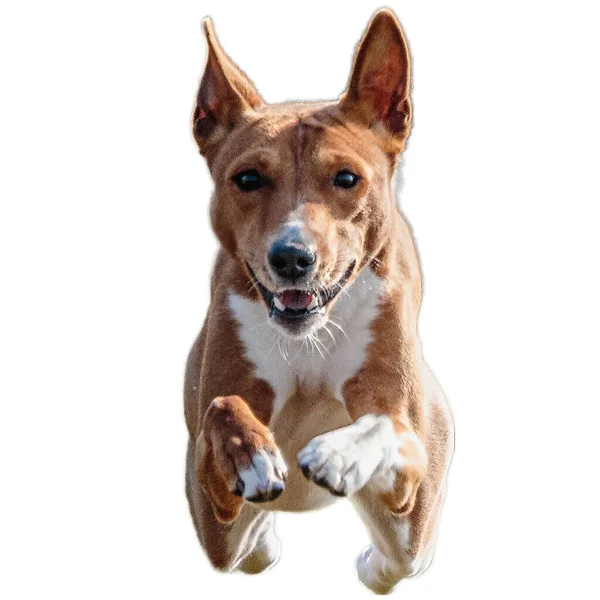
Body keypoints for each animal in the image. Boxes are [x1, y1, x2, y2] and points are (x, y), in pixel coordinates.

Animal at [184, 9, 454, 596]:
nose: (292, 257)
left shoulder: (407, 455)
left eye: (346, 178)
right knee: (256, 548)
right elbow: (222, 405)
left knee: (400, 558)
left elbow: (385, 423)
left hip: (416, 523)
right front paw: (250, 455)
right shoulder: (210, 509)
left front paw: (338, 452)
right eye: (248, 178)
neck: (310, 337)